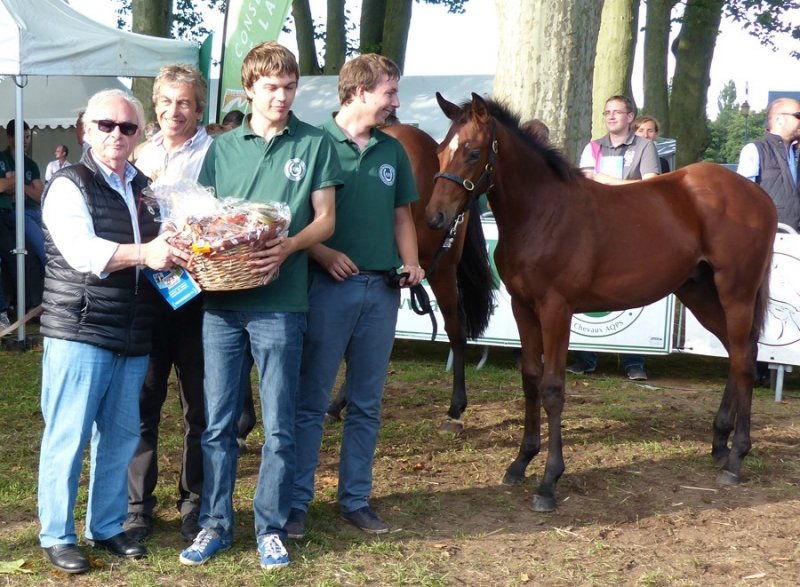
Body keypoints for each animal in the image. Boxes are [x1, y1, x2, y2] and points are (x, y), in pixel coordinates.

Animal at [426, 92, 776, 512]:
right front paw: (521, 462)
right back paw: (720, 443)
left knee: (744, 359)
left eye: (474, 152)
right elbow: (530, 379)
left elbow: (552, 388)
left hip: (735, 292)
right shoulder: (522, 307)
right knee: (737, 353)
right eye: (440, 151)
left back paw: (737, 457)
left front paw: (548, 482)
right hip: (699, 293)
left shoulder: (556, 309)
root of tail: (758, 195)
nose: (435, 217)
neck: (543, 213)